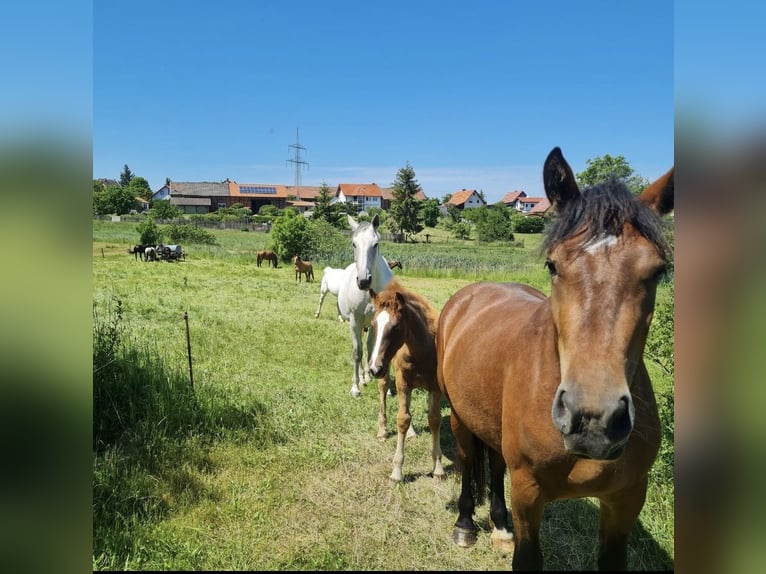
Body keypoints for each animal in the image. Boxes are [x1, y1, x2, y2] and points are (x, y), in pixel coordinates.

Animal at [338, 216, 396, 436]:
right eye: (354, 244)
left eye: (376, 244)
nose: (363, 281)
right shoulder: (355, 321)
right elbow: (357, 353)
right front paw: (355, 388)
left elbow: (376, 351)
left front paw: (386, 388)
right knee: (362, 349)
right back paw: (363, 378)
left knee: (370, 347)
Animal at [368, 282, 448, 484]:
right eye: (373, 324)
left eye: (396, 327)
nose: (373, 369)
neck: (422, 350)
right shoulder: (402, 381)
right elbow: (402, 420)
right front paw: (397, 471)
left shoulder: (435, 386)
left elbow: (434, 419)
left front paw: (438, 468)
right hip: (387, 367)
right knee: (383, 388)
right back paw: (382, 431)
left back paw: (411, 432)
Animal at [438, 147, 680, 572]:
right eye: (553, 265)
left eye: (657, 271)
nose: (593, 420)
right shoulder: (528, 494)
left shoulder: (626, 500)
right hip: (459, 416)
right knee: (469, 461)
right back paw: (466, 524)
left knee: (495, 463)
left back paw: (500, 526)